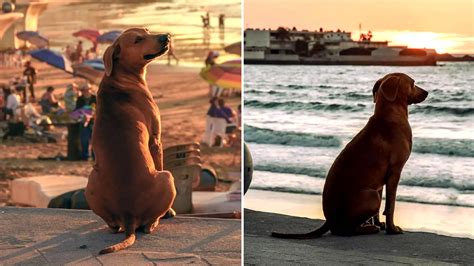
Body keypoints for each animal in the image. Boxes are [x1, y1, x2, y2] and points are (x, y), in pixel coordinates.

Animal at [84, 28, 176, 255]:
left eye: (148, 31)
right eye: (138, 40)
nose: (166, 36)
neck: (119, 79)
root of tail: (128, 215)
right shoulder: (156, 141)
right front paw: (170, 211)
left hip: (90, 183)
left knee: (112, 225)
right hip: (167, 177)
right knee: (149, 224)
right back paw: (157, 220)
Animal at [270, 73, 430, 239]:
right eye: (413, 83)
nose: (427, 92)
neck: (390, 115)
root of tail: (330, 220)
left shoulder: (380, 180)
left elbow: (380, 211)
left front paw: (380, 224)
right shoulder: (395, 172)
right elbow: (390, 206)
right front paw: (392, 229)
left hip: (373, 193)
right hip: (371, 196)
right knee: (346, 230)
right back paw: (367, 229)